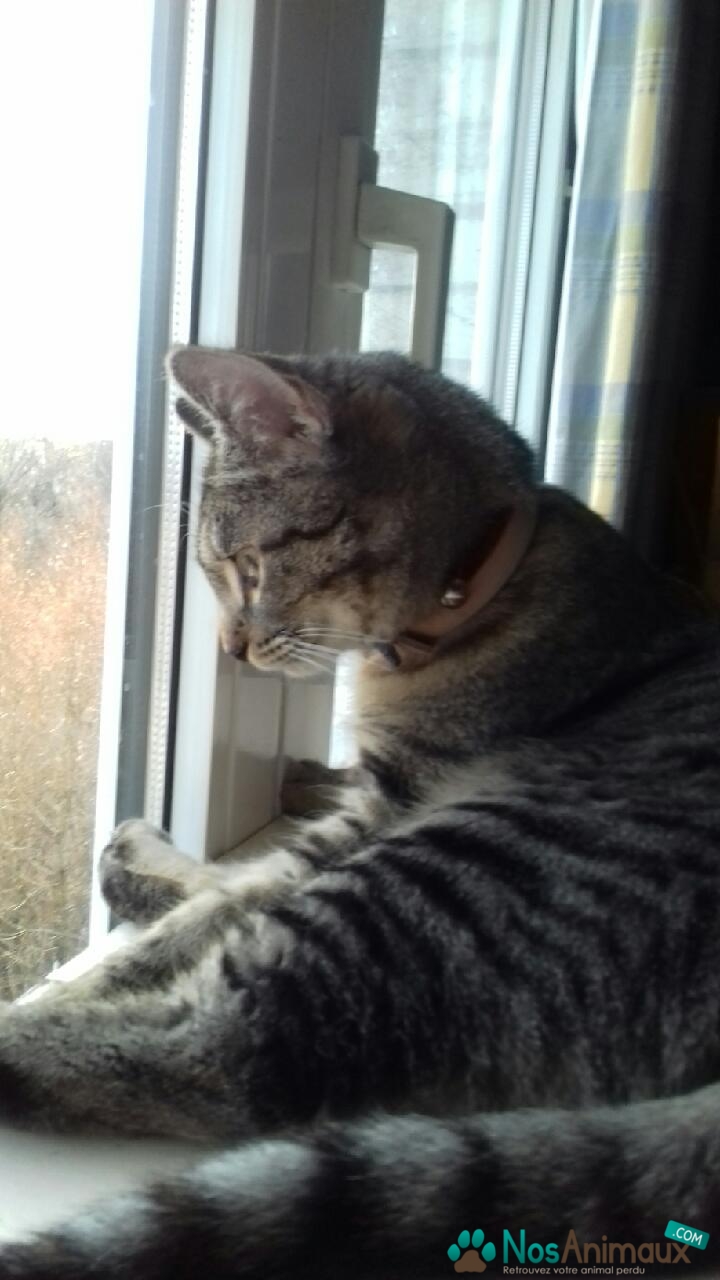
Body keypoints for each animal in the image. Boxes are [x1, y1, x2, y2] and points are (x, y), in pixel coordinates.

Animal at [0, 346, 719, 1279]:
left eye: (246, 568)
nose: (231, 647)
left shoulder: (394, 801)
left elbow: (208, 919)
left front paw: (88, 971)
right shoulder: (364, 803)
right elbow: (229, 886)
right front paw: (148, 862)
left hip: (470, 860)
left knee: (235, 1049)